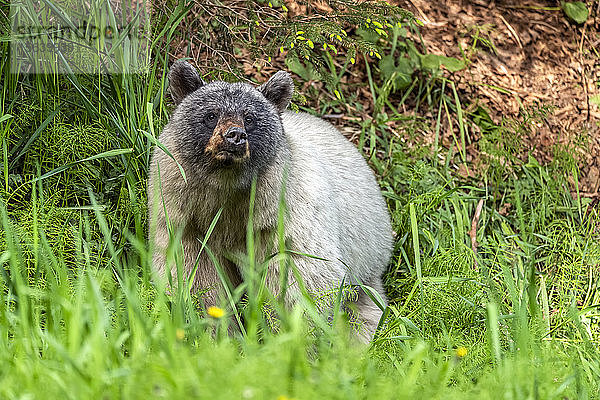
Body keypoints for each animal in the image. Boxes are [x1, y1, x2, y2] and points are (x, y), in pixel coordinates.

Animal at [148, 60, 396, 340]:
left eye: (250, 118)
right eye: (211, 114)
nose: (234, 136)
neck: (227, 188)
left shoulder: (283, 212)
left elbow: (299, 277)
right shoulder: (185, 215)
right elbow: (196, 277)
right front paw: (215, 331)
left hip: (364, 265)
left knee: (362, 314)